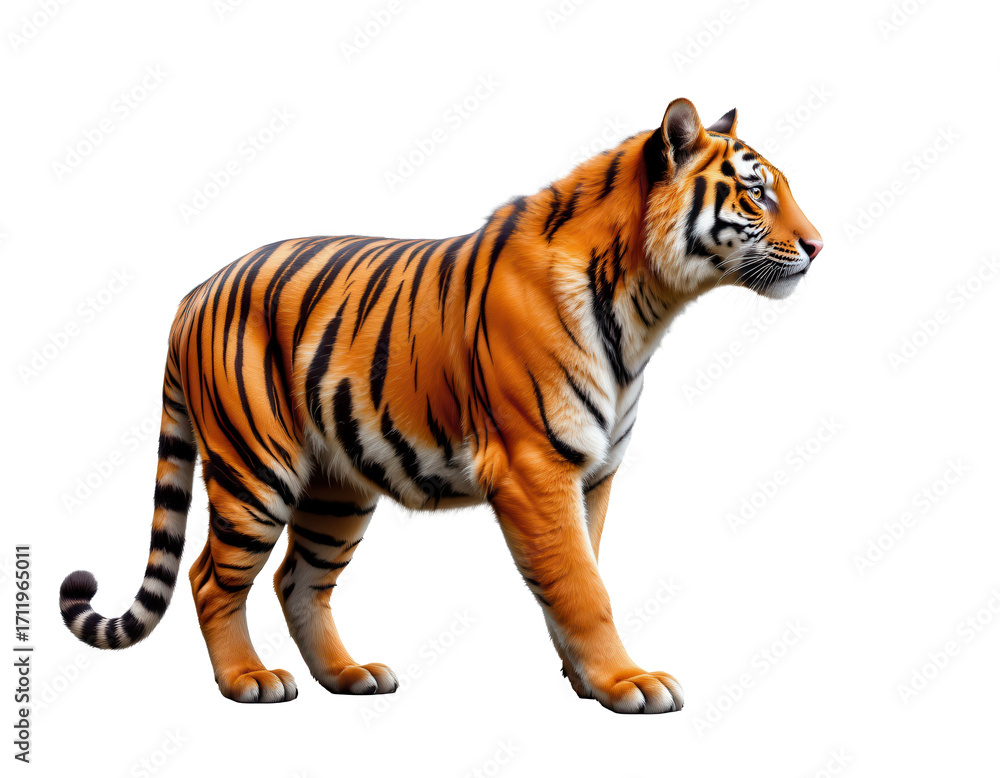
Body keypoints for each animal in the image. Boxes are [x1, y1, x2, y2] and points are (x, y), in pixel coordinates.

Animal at [60, 98, 822, 713]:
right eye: (755, 194)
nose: (818, 246)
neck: (646, 306)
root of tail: (195, 291)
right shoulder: (536, 467)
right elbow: (582, 586)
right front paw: (626, 683)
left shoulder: (594, 474)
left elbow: (583, 572)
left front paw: (588, 680)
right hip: (255, 470)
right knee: (209, 578)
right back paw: (248, 679)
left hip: (336, 489)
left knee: (296, 580)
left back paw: (348, 675)